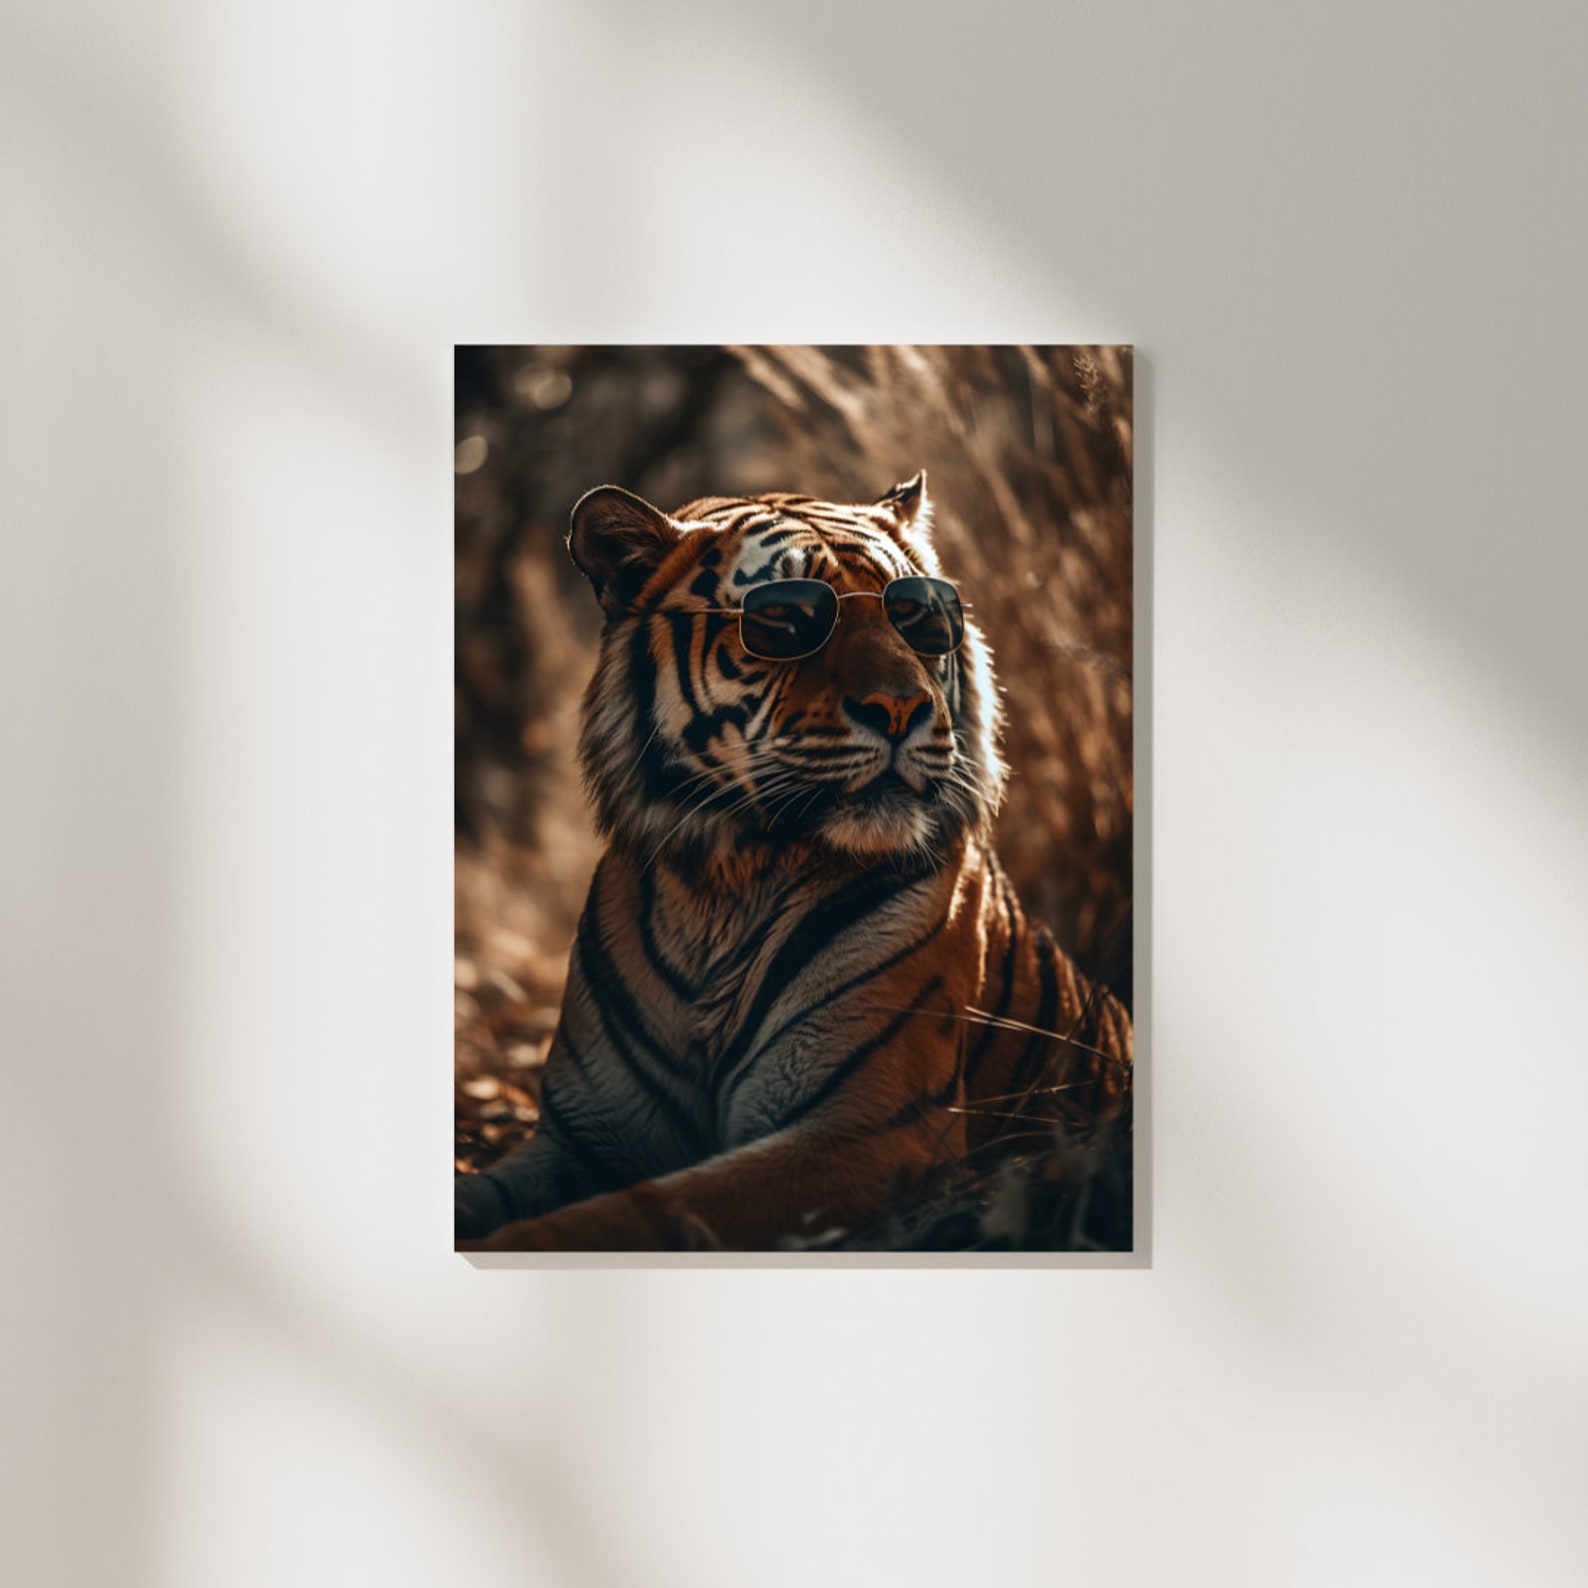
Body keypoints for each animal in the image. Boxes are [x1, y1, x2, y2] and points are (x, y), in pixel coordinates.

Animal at [454, 473, 1132, 1251]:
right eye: (784, 620)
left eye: (920, 617)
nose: (902, 708)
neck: (725, 883)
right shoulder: (584, 1137)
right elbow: (485, 1195)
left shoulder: (864, 1133)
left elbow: (631, 1213)